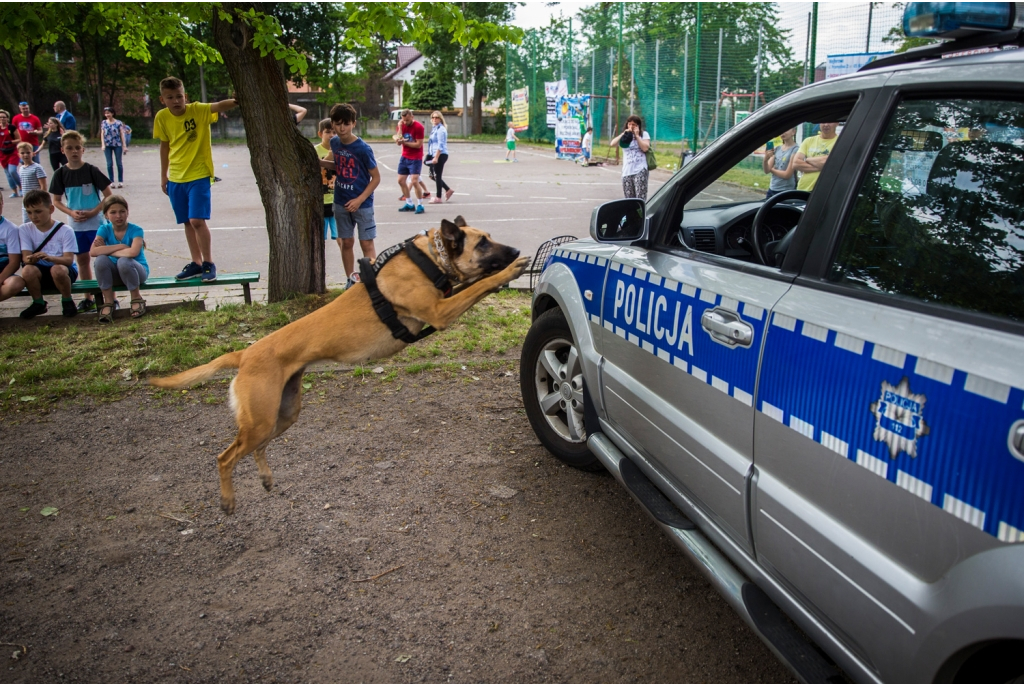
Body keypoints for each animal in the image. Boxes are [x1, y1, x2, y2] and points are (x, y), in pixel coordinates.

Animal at [149, 216, 528, 509]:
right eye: (483, 243)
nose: (514, 251)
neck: (428, 259)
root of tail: (245, 354)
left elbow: (474, 285)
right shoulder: (440, 311)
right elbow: (479, 285)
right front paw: (510, 270)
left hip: (281, 415)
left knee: (258, 449)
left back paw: (266, 478)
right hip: (260, 420)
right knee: (224, 457)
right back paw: (228, 500)